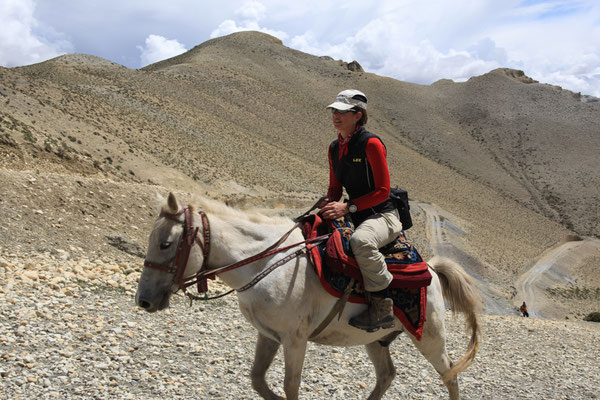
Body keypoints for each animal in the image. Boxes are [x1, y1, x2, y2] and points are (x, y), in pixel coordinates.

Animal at [136, 192, 482, 398]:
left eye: (166, 243)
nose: (144, 300)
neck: (266, 261)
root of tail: (432, 269)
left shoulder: (295, 339)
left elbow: (290, 386)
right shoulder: (269, 335)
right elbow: (257, 379)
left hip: (430, 337)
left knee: (450, 375)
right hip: (375, 339)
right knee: (387, 374)